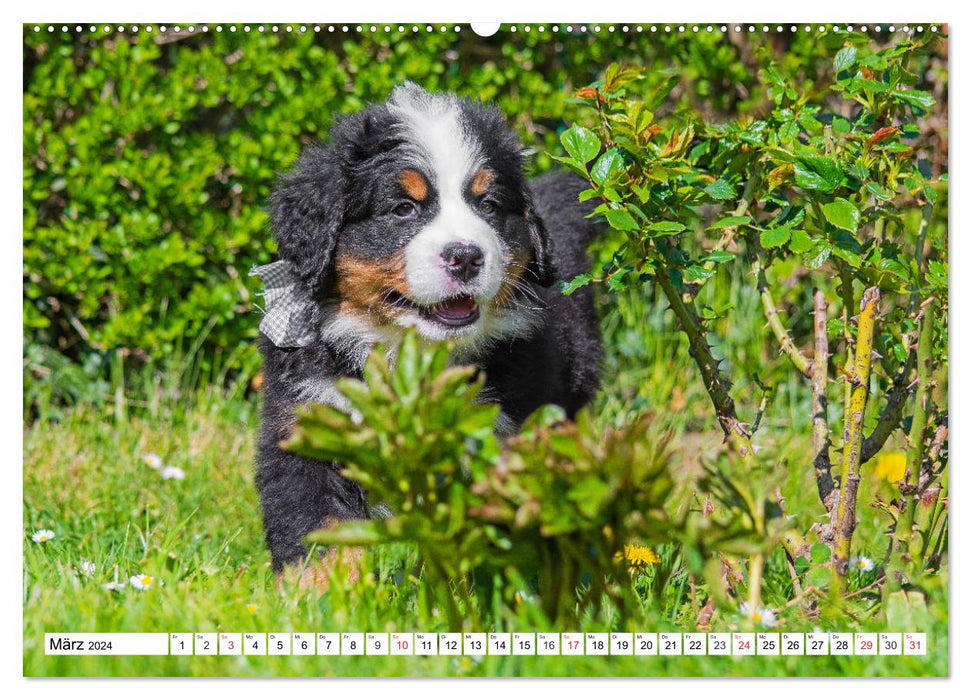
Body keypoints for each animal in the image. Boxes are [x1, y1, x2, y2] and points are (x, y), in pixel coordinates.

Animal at [256, 82, 608, 576]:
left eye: (489, 205)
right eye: (404, 208)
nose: (465, 256)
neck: (408, 353)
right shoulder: (311, 424)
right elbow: (318, 532)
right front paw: (326, 592)